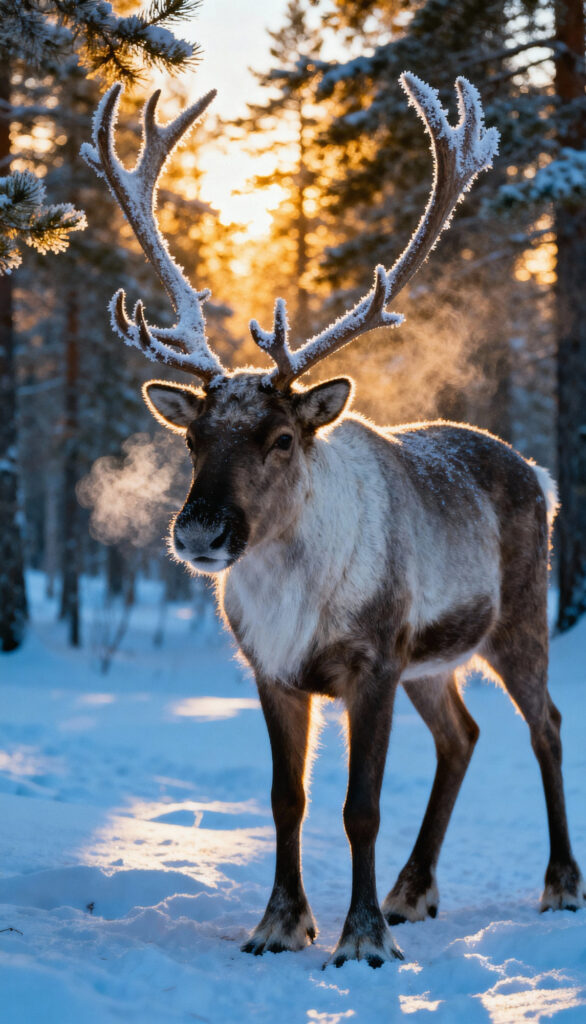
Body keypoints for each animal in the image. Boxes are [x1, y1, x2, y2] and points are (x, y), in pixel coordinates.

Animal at [82, 72, 585, 968]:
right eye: (192, 437)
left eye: (281, 438)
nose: (200, 534)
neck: (293, 595)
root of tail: (539, 473)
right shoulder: (276, 672)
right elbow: (288, 798)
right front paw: (280, 924)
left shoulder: (371, 663)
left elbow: (361, 807)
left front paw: (361, 939)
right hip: (434, 662)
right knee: (462, 737)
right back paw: (413, 891)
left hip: (516, 621)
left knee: (547, 727)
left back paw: (558, 883)